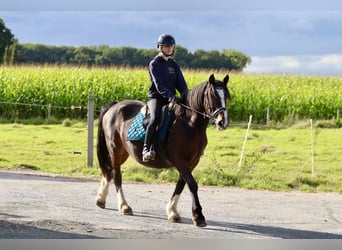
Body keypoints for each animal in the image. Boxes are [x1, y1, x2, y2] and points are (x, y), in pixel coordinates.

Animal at [95, 73, 231, 228]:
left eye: (226, 96)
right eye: (212, 95)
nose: (223, 122)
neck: (189, 124)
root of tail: (115, 106)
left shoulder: (192, 162)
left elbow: (181, 184)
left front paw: (172, 212)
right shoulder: (179, 160)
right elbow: (192, 184)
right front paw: (198, 216)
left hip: (123, 152)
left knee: (109, 172)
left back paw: (101, 199)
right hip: (115, 149)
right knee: (116, 175)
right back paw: (124, 206)